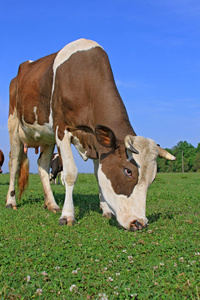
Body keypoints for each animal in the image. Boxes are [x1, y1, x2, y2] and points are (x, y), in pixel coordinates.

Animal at [5, 38, 175, 231]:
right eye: (128, 171)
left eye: (152, 178)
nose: (139, 223)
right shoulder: (61, 129)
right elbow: (70, 173)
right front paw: (68, 216)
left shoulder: (96, 141)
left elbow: (98, 175)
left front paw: (106, 210)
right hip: (14, 125)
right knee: (14, 163)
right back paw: (11, 202)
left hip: (46, 135)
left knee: (43, 164)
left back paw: (52, 204)